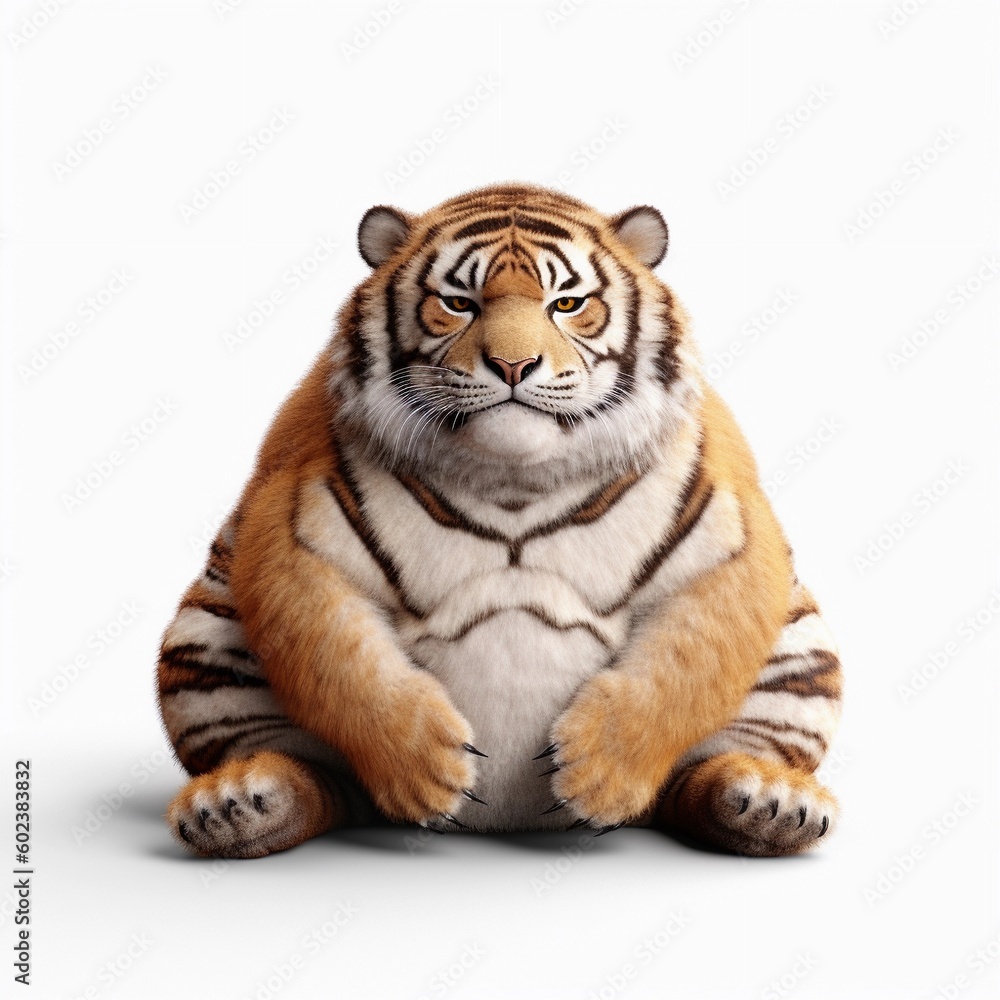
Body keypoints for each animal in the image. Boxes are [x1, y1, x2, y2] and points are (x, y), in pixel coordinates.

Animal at [157, 182, 843, 859]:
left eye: (567, 303)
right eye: (459, 303)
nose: (513, 366)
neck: (514, 478)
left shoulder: (730, 550)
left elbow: (682, 669)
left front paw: (598, 771)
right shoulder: (297, 541)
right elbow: (343, 662)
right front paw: (426, 767)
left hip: (798, 662)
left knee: (703, 774)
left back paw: (768, 805)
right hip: (207, 646)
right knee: (320, 779)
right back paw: (240, 804)